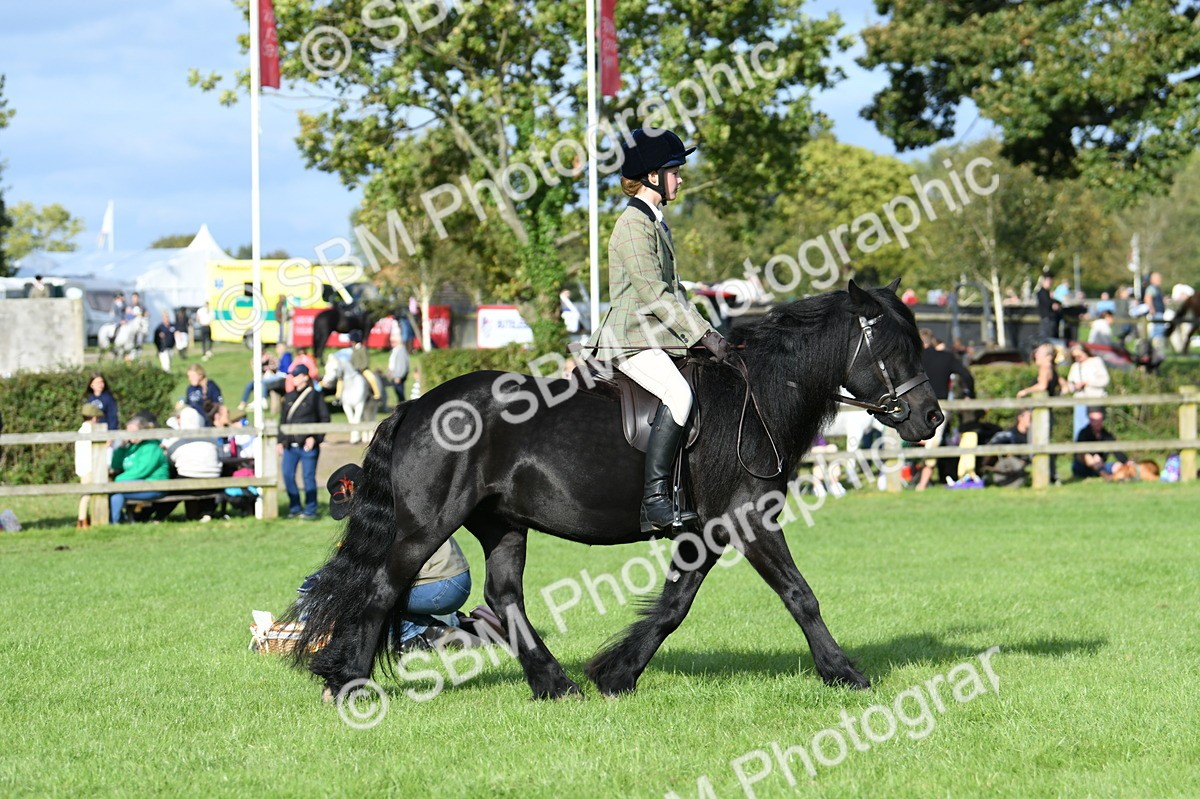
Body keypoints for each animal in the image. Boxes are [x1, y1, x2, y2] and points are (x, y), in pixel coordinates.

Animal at [286, 280, 943, 701]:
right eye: (893, 349)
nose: (931, 419)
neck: (755, 397)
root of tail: (417, 405)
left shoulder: (708, 529)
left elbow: (675, 604)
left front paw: (617, 675)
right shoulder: (747, 517)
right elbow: (800, 595)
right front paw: (845, 673)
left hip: (502, 523)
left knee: (503, 597)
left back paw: (556, 686)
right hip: (426, 527)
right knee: (381, 588)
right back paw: (348, 685)